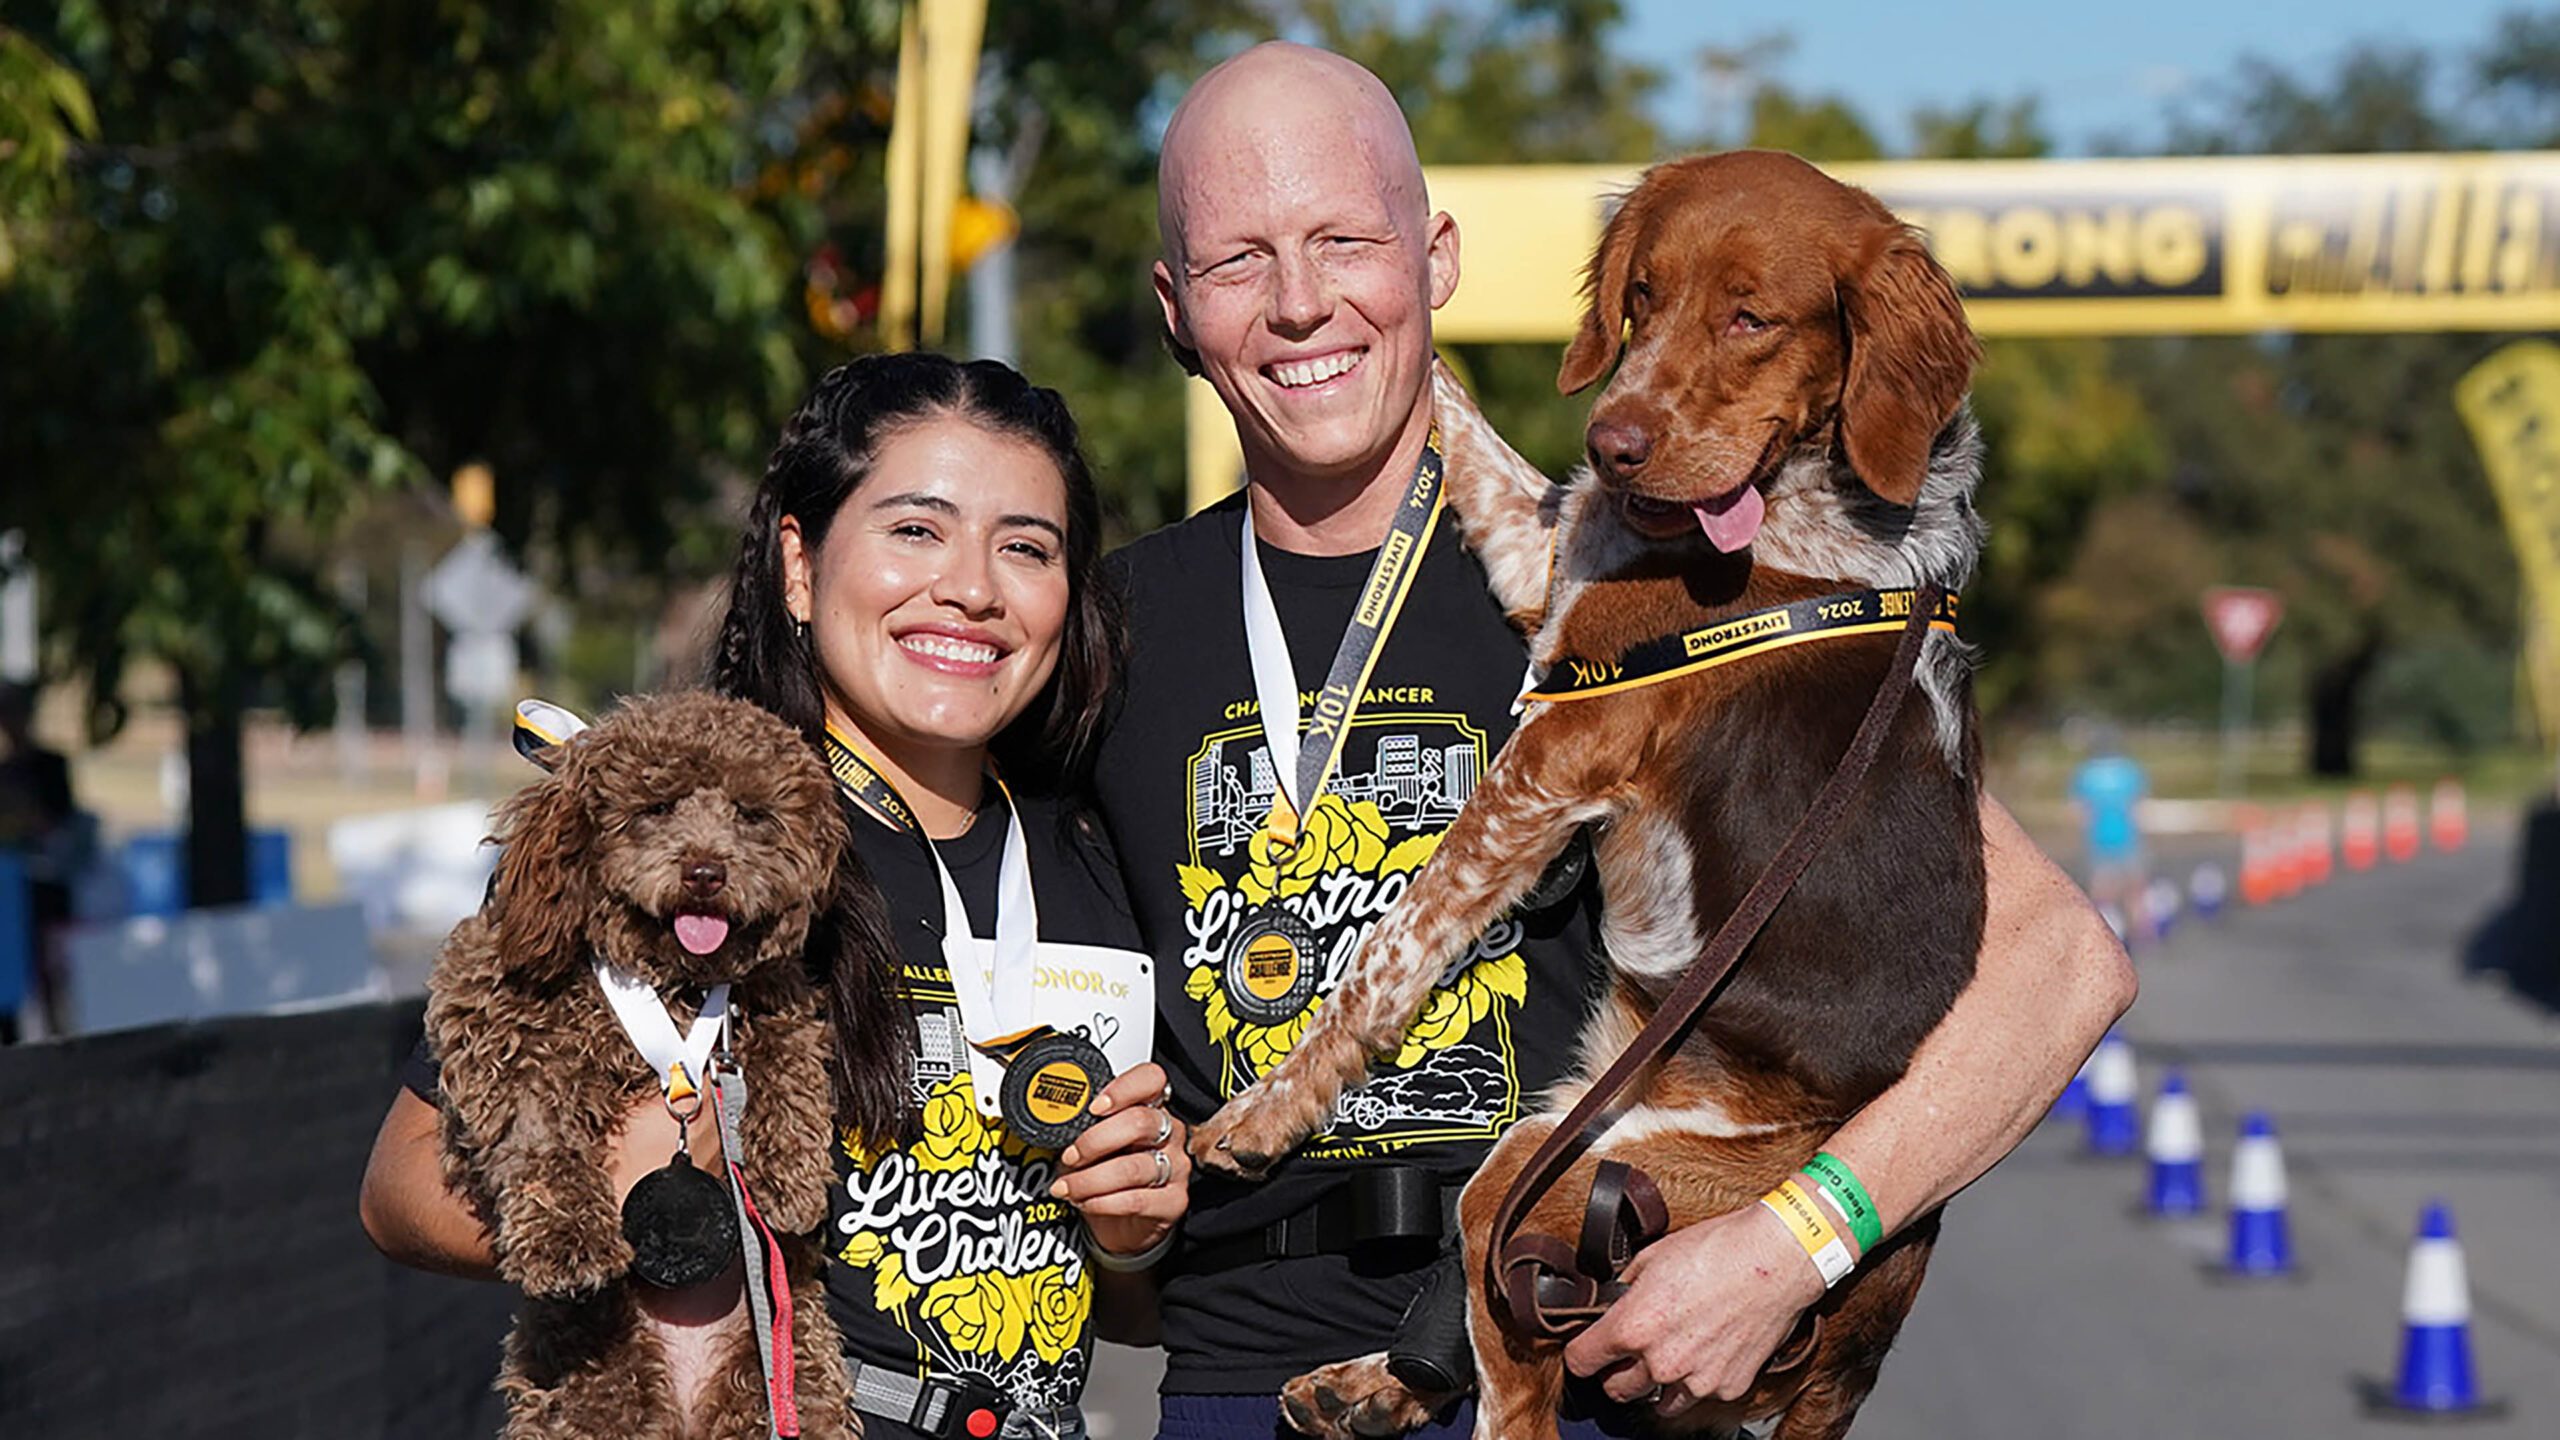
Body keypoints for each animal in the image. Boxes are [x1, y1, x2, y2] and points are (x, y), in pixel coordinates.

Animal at [424, 686, 855, 1434]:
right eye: (656, 807)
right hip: (586, 1389)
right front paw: (567, 1242)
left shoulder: (777, 997)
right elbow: (536, 1130)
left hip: (788, 1372)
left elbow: (791, 1065)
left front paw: (790, 1182)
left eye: (752, 813)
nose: (706, 871)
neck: (669, 975)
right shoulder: (491, 1010)